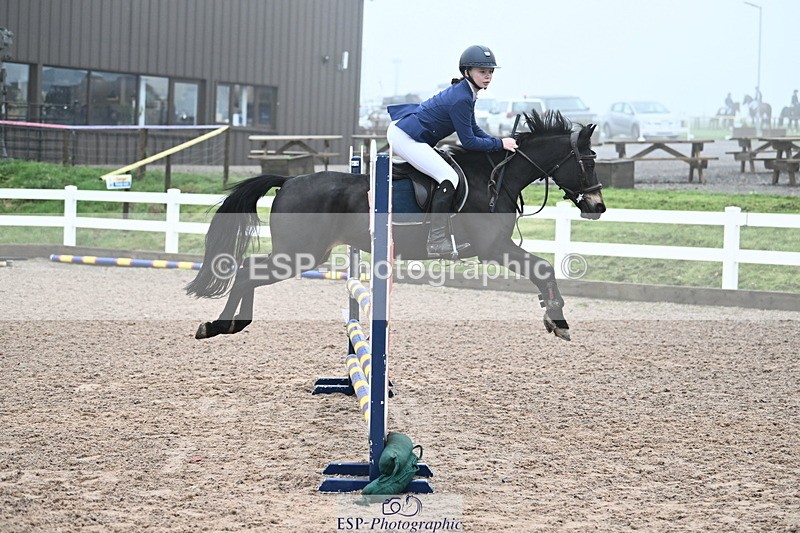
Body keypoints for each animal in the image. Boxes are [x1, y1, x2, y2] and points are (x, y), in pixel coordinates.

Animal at [186, 110, 606, 343]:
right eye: (588, 161)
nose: (597, 207)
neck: (494, 177)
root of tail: (288, 180)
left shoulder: (498, 249)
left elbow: (542, 270)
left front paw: (551, 313)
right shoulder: (494, 249)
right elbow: (543, 268)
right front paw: (558, 319)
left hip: (303, 254)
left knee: (248, 272)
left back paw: (232, 325)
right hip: (299, 254)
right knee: (246, 272)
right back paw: (218, 326)